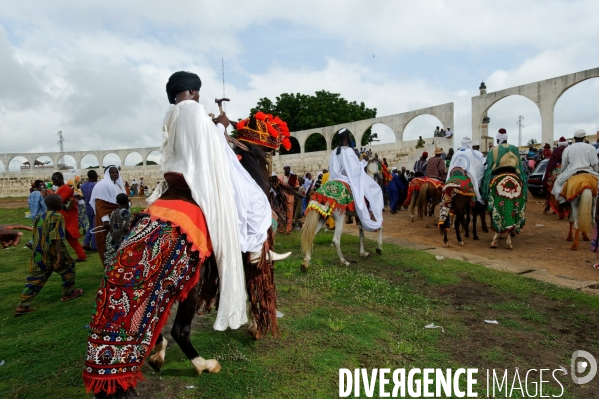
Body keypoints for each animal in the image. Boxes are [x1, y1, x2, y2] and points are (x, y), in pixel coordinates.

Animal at [90, 142, 280, 398]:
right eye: (264, 162)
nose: (271, 190)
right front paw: (255, 328)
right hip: (190, 286)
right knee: (179, 330)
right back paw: (205, 364)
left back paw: (158, 355)